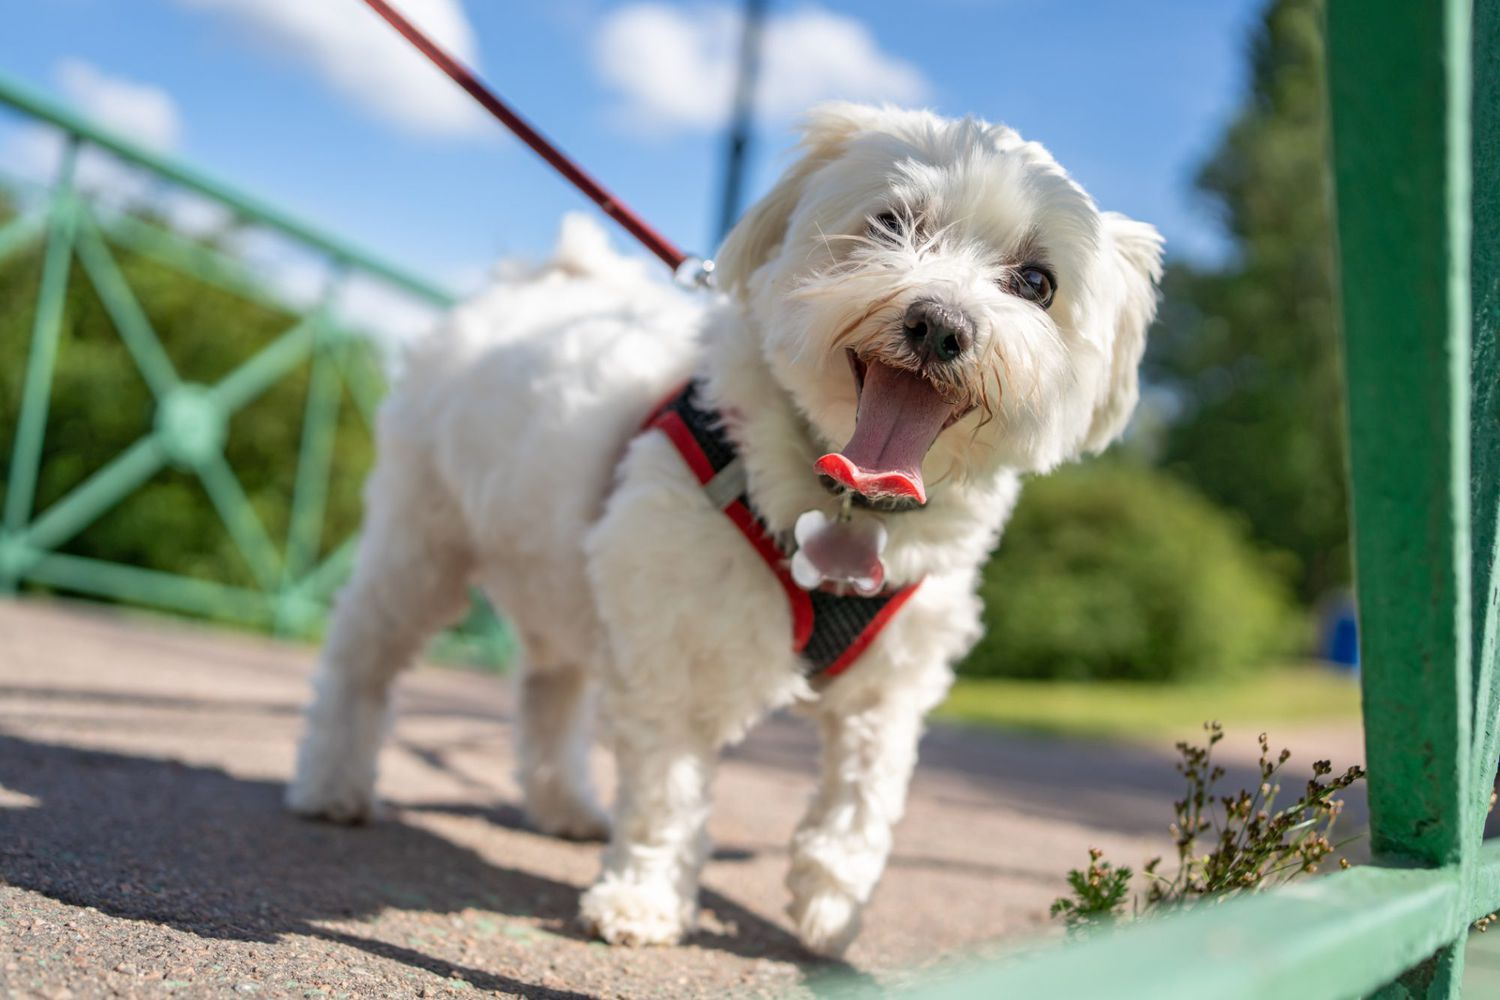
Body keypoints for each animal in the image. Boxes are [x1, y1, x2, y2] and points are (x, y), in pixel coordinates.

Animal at [286, 105, 1164, 959]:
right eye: (890, 223)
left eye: (1037, 282)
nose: (939, 323)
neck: (840, 501)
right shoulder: (672, 641)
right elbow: (667, 789)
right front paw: (644, 898)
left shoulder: (892, 685)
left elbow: (863, 801)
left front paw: (832, 910)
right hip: (421, 542)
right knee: (362, 658)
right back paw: (332, 785)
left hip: (563, 577)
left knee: (549, 689)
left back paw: (564, 804)